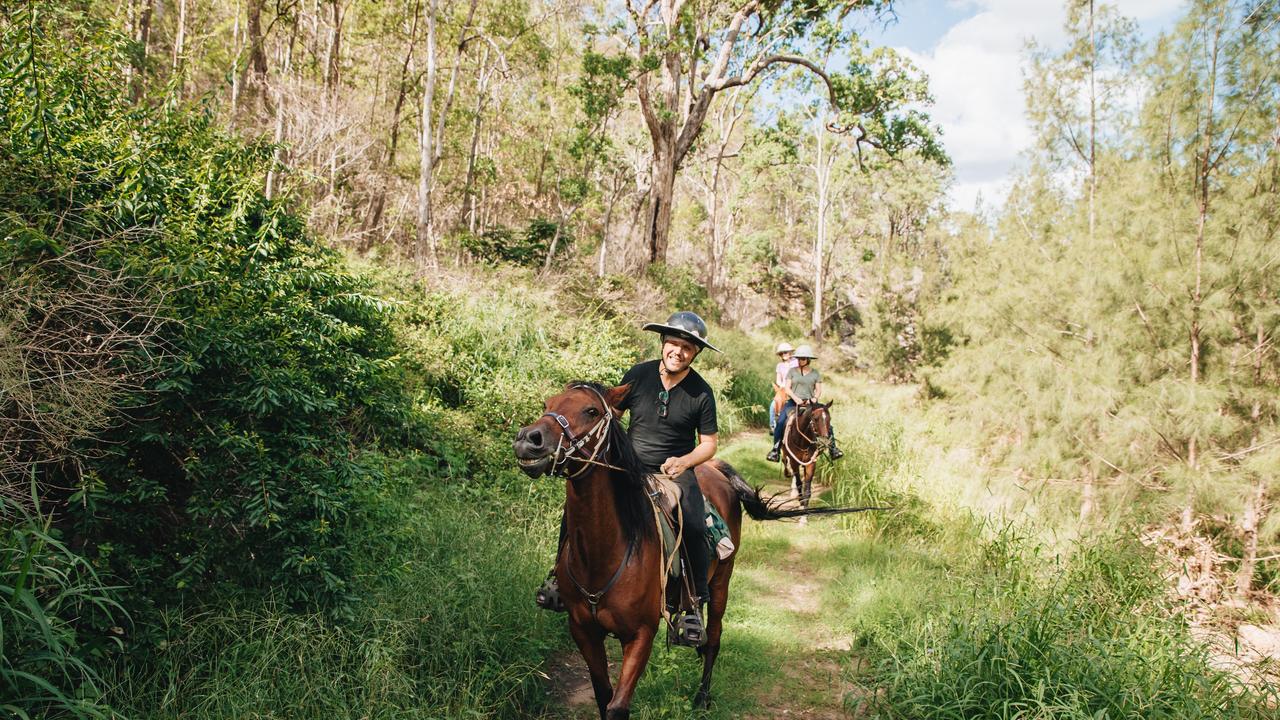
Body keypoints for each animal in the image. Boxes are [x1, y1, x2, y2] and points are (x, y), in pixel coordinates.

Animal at [512, 379, 870, 712]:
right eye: (548, 404)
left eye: (591, 411)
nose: (529, 439)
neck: (606, 553)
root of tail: (716, 469)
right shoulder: (583, 631)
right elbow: (603, 698)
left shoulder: (641, 634)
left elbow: (617, 706)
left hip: (722, 581)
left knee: (714, 637)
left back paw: (702, 696)